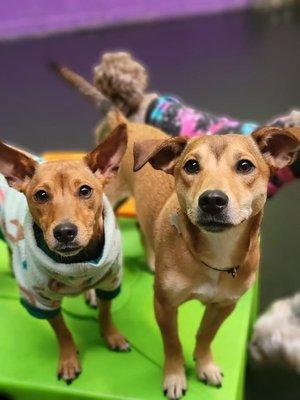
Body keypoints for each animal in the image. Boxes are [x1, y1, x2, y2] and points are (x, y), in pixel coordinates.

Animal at [102, 113, 298, 400]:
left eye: (245, 166)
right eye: (191, 165)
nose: (212, 200)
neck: (215, 255)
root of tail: (125, 122)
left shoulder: (225, 306)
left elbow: (206, 335)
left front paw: (205, 365)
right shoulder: (164, 305)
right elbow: (172, 343)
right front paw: (174, 375)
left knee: (143, 229)